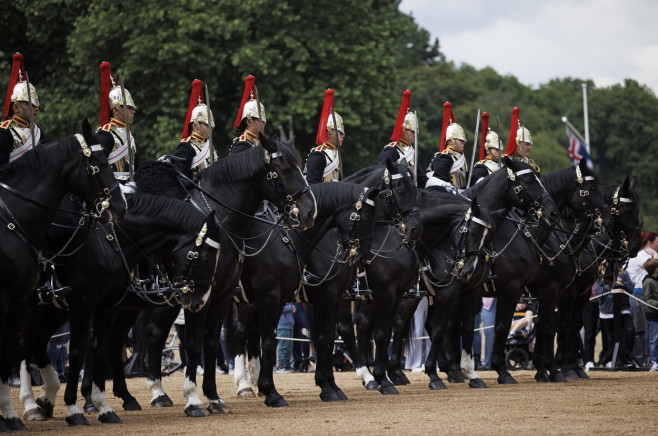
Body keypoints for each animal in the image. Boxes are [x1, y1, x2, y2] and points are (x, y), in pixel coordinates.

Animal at [14, 193, 220, 426]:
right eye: (204, 257)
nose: (200, 301)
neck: (107, 241)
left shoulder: (109, 307)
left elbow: (101, 350)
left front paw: (102, 404)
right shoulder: (85, 304)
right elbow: (78, 351)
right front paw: (77, 407)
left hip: (57, 310)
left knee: (38, 342)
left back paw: (48, 397)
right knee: (24, 346)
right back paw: (30, 404)